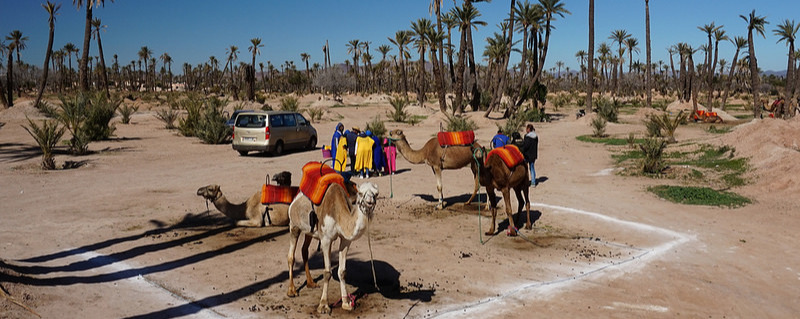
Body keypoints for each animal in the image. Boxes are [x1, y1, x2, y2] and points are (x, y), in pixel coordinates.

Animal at [284, 182, 378, 316]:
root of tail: (296, 198)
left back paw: (311, 283)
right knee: (291, 256)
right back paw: (292, 291)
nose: (370, 201)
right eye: (360, 193)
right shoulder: (326, 239)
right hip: (294, 225)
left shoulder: (345, 240)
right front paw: (323, 305)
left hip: (309, 231)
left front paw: (346, 303)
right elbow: (327, 272)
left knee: (304, 250)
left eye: (376, 194)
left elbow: (342, 271)